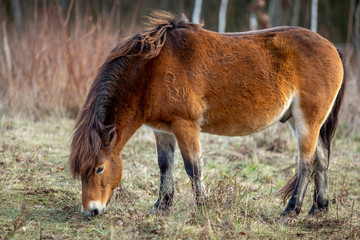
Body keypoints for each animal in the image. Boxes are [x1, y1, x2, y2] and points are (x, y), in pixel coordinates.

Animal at [69, 11, 346, 219]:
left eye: (99, 169)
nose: (91, 211)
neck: (152, 70)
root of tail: (332, 47)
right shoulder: (161, 129)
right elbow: (164, 165)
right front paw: (161, 206)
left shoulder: (185, 125)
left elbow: (193, 167)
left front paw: (202, 206)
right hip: (304, 123)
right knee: (321, 159)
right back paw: (318, 209)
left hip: (307, 121)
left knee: (306, 162)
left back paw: (291, 210)